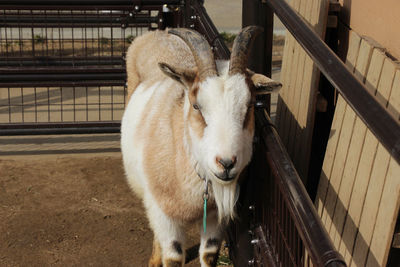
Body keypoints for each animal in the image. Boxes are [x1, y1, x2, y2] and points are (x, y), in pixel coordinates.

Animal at [121, 26, 282, 267]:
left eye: (250, 105)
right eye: (196, 106)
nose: (226, 163)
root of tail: (159, 33)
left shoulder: (215, 217)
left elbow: (209, 254)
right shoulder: (163, 213)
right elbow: (173, 256)